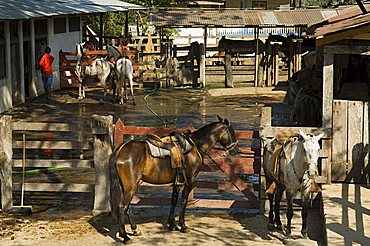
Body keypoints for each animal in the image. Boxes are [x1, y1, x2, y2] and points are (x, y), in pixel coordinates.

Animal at [108, 116, 238, 243]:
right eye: (232, 132)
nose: (235, 150)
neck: (195, 146)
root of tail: (120, 150)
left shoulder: (177, 182)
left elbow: (174, 201)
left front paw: (172, 225)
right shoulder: (189, 181)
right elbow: (184, 201)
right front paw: (183, 226)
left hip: (126, 186)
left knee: (127, 207)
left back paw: (135, 230)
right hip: (131, 187)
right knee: (122, 207)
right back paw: (125, 236)